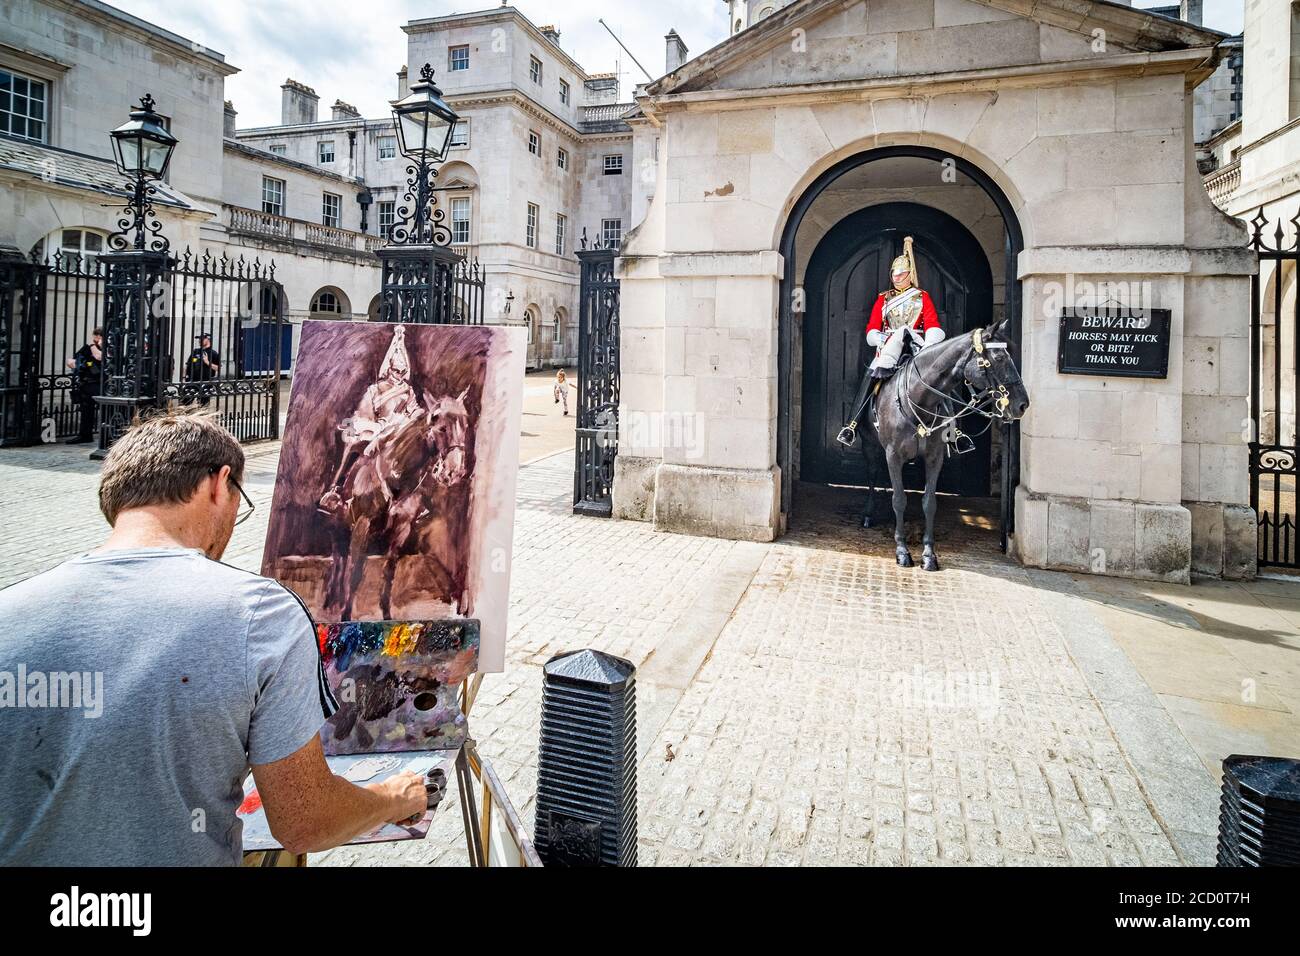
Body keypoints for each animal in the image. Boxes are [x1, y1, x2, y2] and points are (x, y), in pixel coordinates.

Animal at [322, 390, 470, 621]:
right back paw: (331, 599)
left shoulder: (401, 529)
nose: (453, 471)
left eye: (465, 424)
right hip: (336, 526)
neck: (397, 475)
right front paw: (345, 616)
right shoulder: (363, 526)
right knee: (339, 557)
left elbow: (389, 570)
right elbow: (355, 573)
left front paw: (386, 614)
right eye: (440, 425)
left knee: (342, 558)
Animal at [847, 321, 1029, 574]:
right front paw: (902, 551)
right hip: (869, 445)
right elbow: (899, 500)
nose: (1023, 404)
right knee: (873, 474)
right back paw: (867, 514)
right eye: (1000, 358)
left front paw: (928, 555)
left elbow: (929, 503)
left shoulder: (935, 457)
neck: (918, 400)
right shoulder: (893, 455)